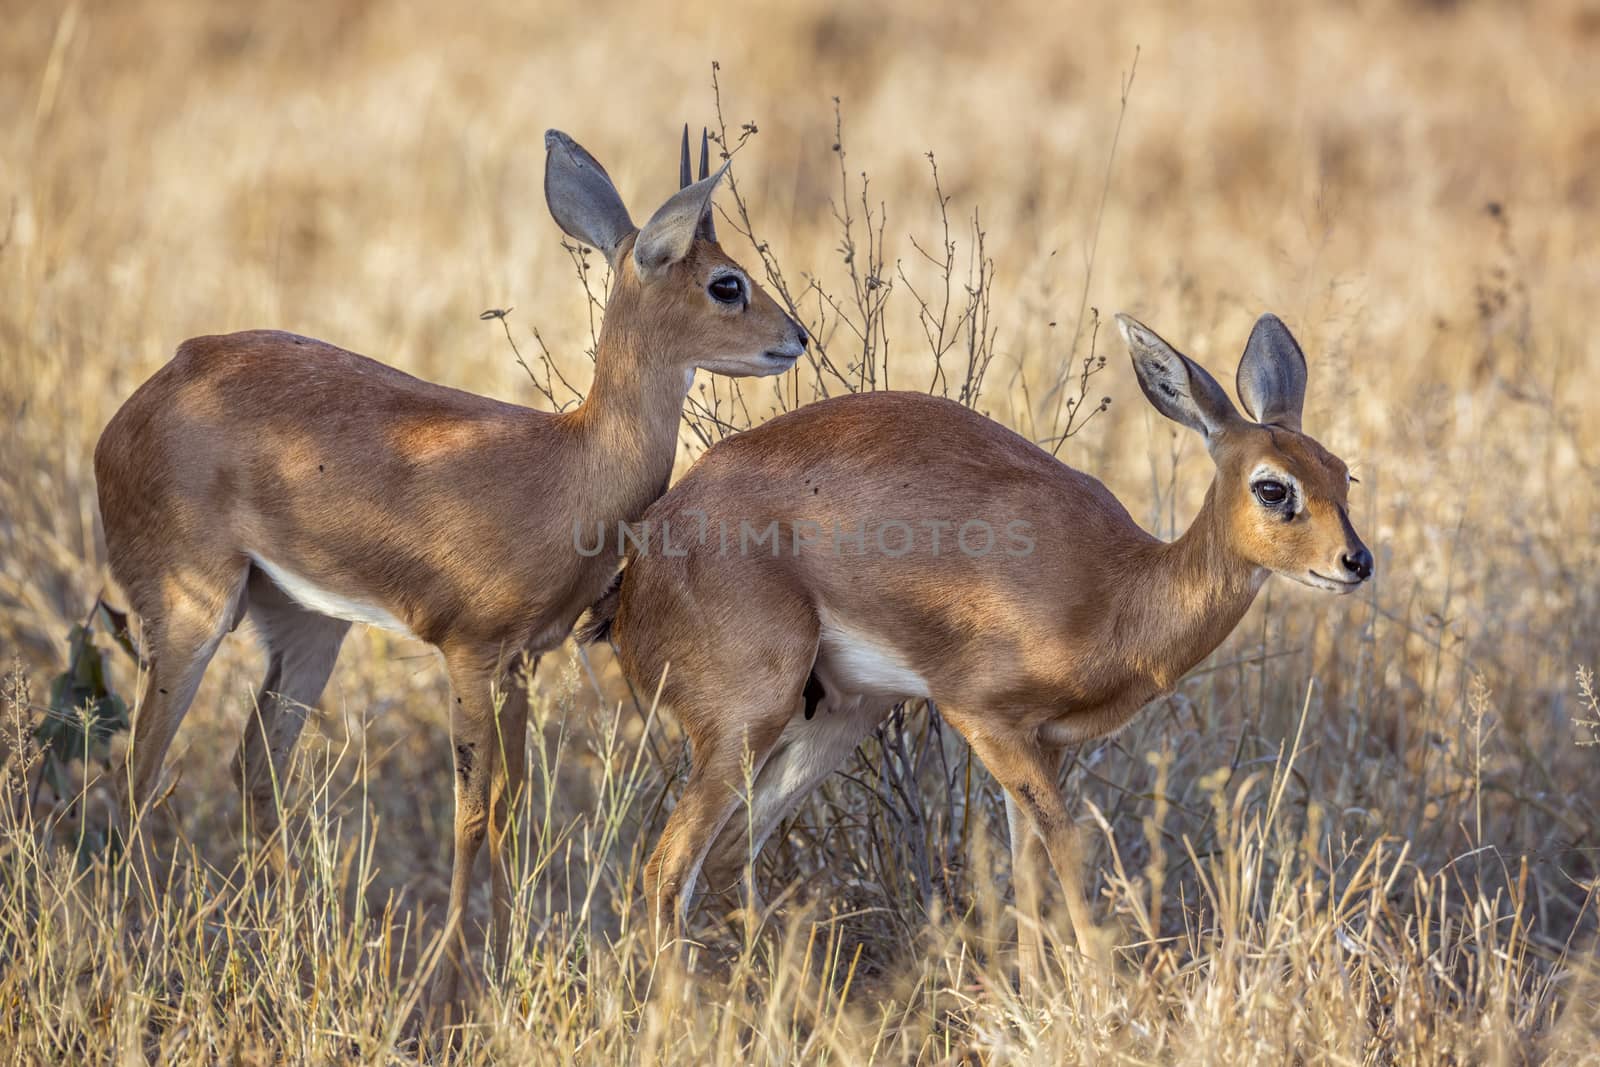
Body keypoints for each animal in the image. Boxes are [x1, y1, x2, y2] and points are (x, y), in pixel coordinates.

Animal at [93, 127, 806, 1004]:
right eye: (725, 283)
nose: (797, 337)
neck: (570, 464)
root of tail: (142, 399)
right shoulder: (468, 655)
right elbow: (468, 812)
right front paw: (451, 981)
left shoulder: (522, 661)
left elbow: (510, 804)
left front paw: (506, 953)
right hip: (193, 615)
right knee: (141, 769)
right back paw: (137, 950)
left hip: (308, 627)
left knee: (255, 761)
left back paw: (293, 933)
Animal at [582, 310, 1369, 979]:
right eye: (1273, 487)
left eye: (1341, 471)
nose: (1356, 562)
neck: (1119, 591)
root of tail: (639, 563)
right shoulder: (983, 717)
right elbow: (1069, 849)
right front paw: (1105, 991)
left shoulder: (1044, 745)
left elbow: (1027, 867)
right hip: (748, 724)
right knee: (665, 869)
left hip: (836, 719)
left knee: (723, 859)